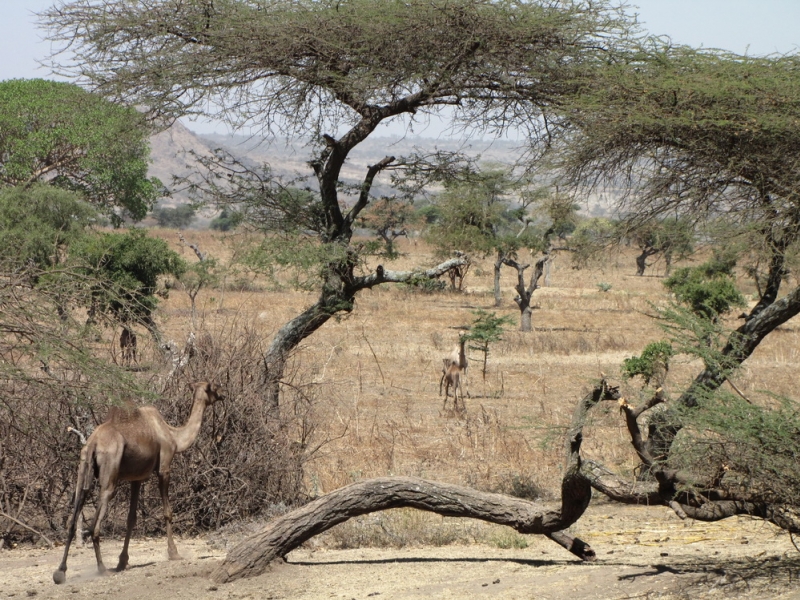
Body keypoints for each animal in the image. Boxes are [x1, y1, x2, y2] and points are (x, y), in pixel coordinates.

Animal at [53, 382, 223, 584]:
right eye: (214, 388)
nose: (222, 395)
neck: (173, 435)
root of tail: (93, 443)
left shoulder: (137, 478)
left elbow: (131, 518)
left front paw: (122, 561)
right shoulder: (164, 466)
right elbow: (167, 512)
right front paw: (174, 553)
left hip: (83, 466)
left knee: (74, 516)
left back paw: (60, 572)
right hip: (109, 473)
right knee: (96, 523)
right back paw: (102, 569)